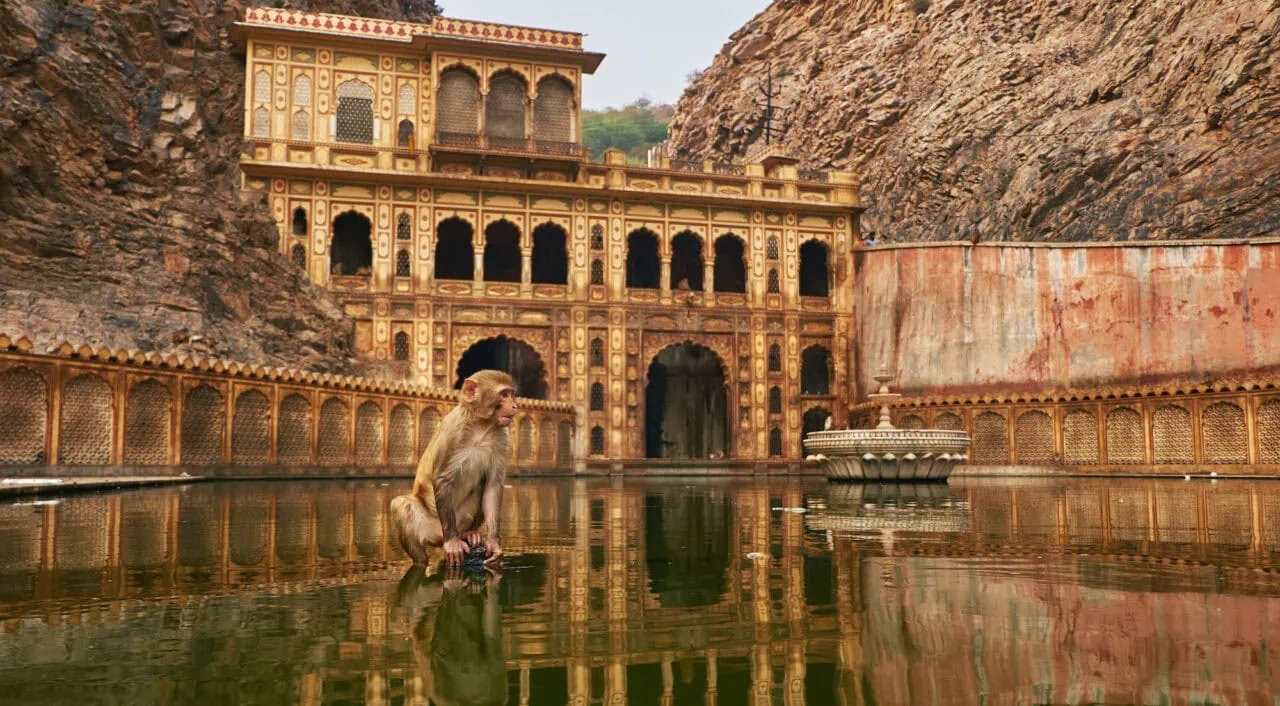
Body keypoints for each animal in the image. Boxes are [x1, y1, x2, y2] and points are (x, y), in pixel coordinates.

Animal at [391, 369, 517, 568]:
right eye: (504, 394)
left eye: (512, 394)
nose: (515, 406)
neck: (481, 426)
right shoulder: (452, 432)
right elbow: (442, 479)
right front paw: (452, 544)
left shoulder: (502, 438)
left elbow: (492, 485)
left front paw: (494, 543)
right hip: (434, 528)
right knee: (402, 504)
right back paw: (426, 558)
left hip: (460, 519)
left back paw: (468, 534)